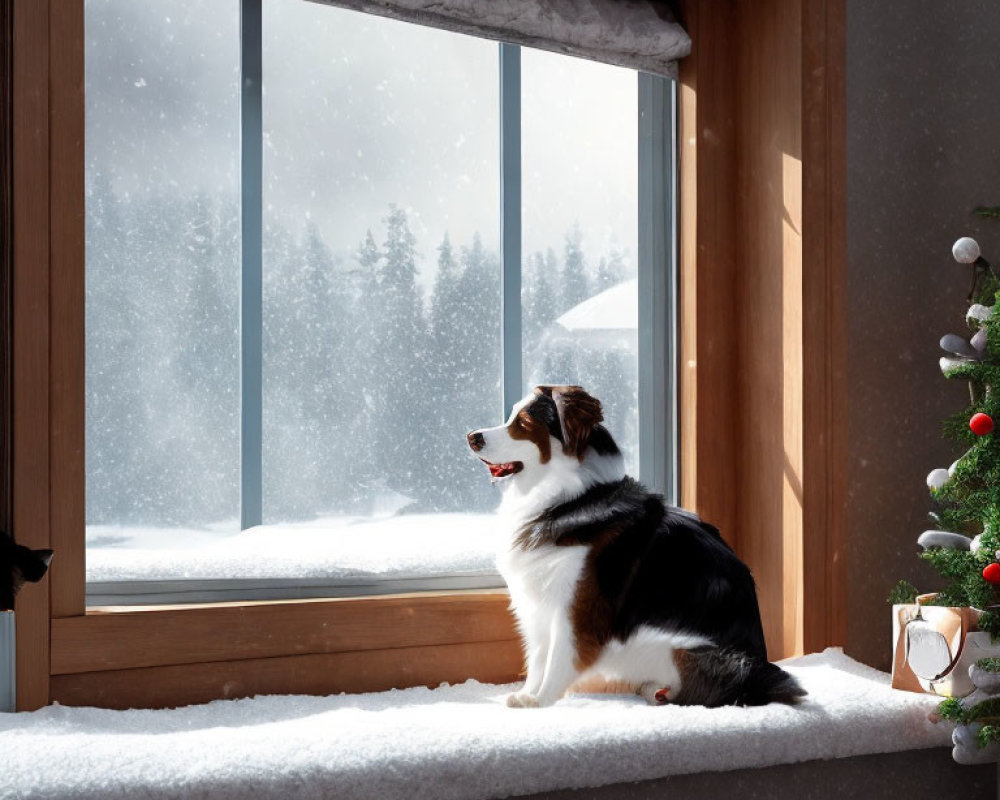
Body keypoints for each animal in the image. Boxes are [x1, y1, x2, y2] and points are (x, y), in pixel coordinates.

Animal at [468, 386, 804, 708]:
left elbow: (559, 658)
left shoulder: (576, 608)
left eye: (523, 424)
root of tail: (760, 673)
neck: (569, 499)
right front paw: (529, 694)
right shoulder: (537, 604)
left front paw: (540, 701)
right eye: (511, 416)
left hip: (684, 650)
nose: (472, 437)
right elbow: (538, 657)